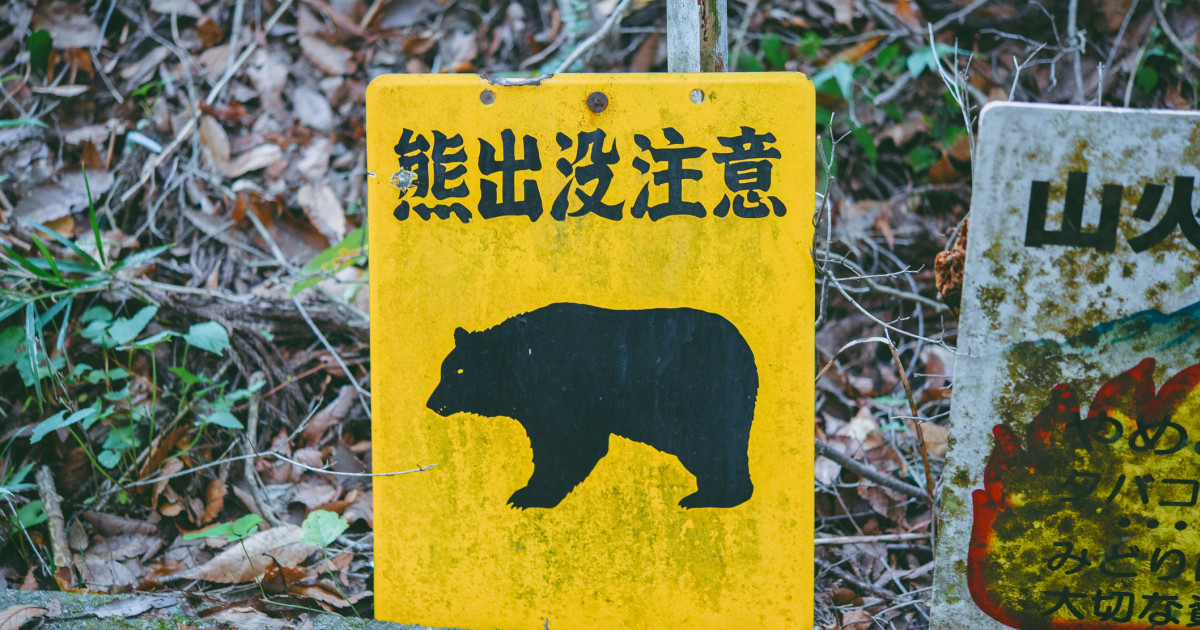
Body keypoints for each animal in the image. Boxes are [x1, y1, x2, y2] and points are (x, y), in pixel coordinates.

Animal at [426, 302, 758, 509]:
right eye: (444, 370)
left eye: (457, 371)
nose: (432, 403)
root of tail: (745, 348)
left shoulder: (562, 390)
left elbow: (568, 444)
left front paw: (529, 494)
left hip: (701, 399)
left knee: (713, 446)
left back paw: (710, 497)